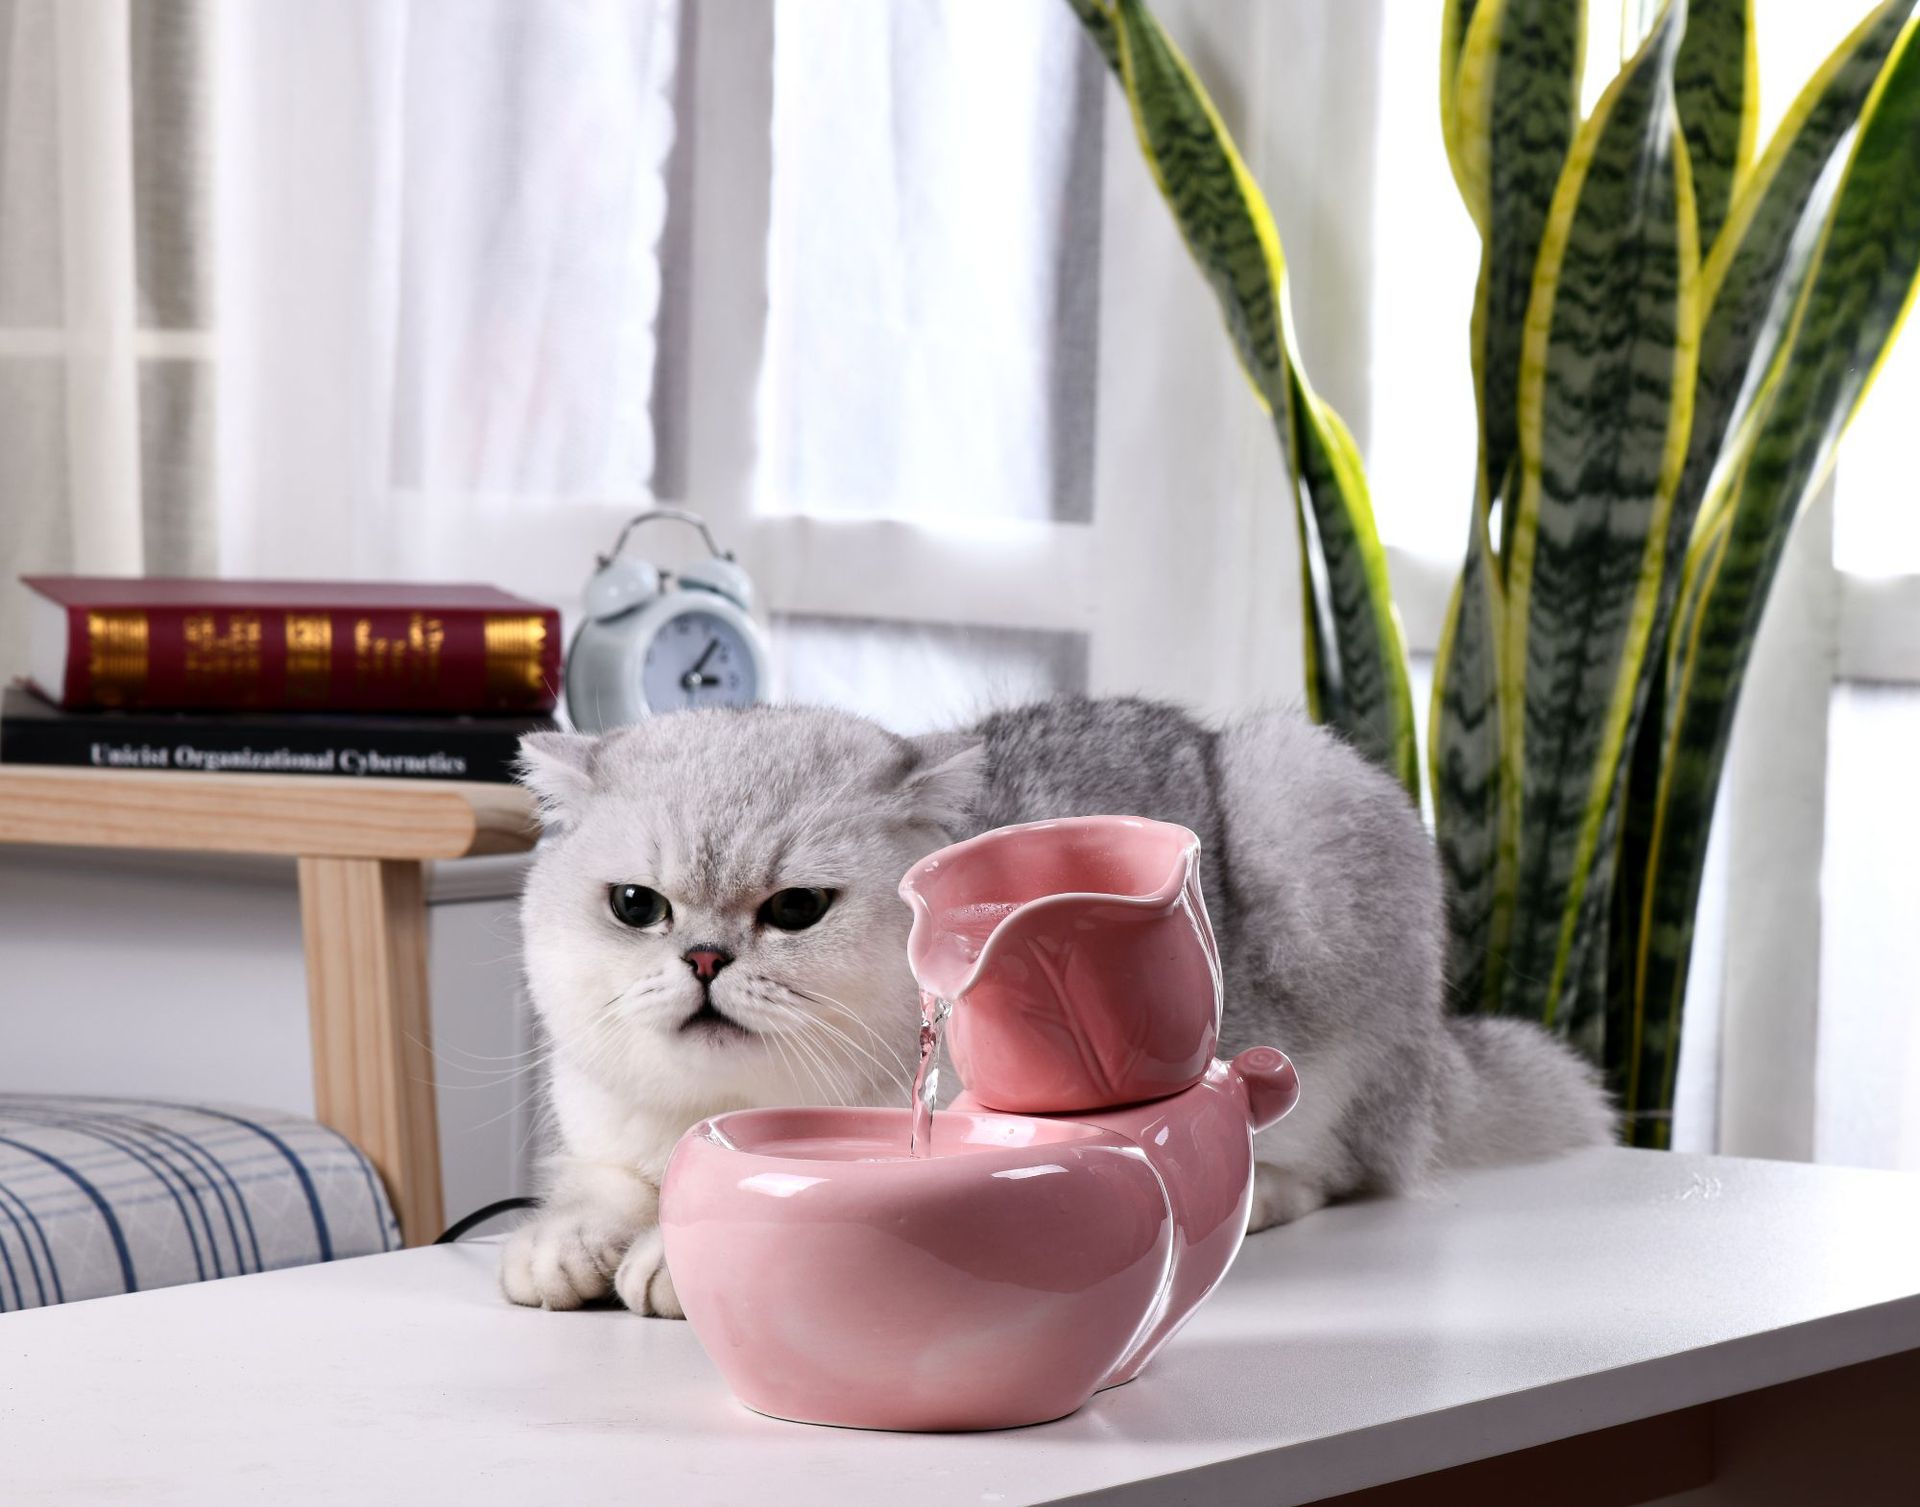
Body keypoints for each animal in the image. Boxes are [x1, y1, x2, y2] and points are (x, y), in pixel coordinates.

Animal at [501, 696, 1613, 1316]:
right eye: (637, 905)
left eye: (796, 908)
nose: (701, 957)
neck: (710, 1110)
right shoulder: (603, 1131)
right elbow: (601, 1184)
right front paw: (565, 1243)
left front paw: (663, 1260)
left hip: (1309, 809)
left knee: (1345, 1164)